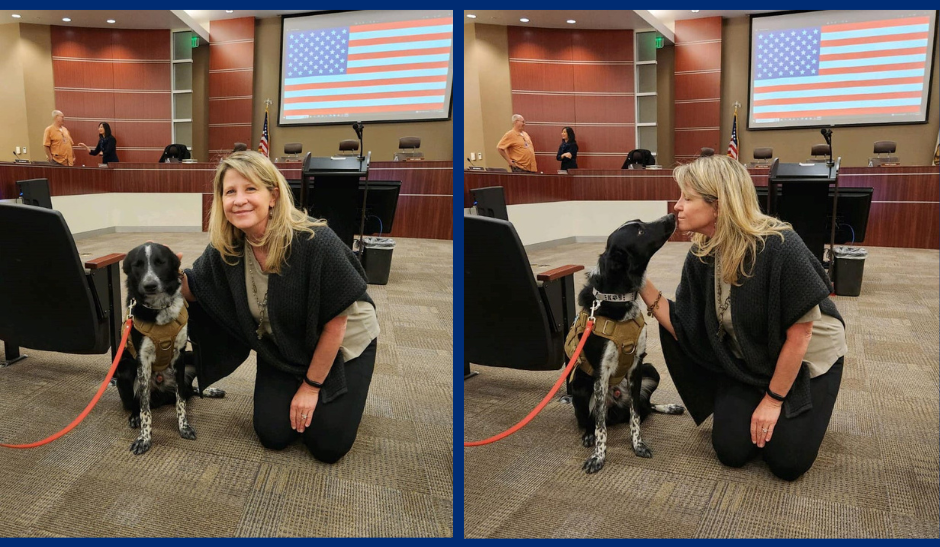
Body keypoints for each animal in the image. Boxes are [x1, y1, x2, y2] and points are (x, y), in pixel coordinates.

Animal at [119, 243, 196, 454]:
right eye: (137, 265)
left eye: (160, 262)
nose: (150, 285)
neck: (159, 309)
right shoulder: (142, 362)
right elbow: (144, 408)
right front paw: (144, 438)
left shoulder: (180, 356)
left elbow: (180, 400)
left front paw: (184, 427)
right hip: (124, 368)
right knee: (136, 402)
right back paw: (134, 417)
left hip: (191, 359)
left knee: (188, 392)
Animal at [568, 215, 688, 476]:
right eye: (640, 232)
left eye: (641, 223)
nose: (672, 216)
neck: (618, 299)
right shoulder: (601, 376)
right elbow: (600, 426)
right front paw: (599, 456)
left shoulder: (636, 367)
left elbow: (635, 418)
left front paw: (638, 444)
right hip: (578, 386)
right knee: (588, 419)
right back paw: (588, 436)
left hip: (651, 370)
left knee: (645, 406)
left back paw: (669, 407)